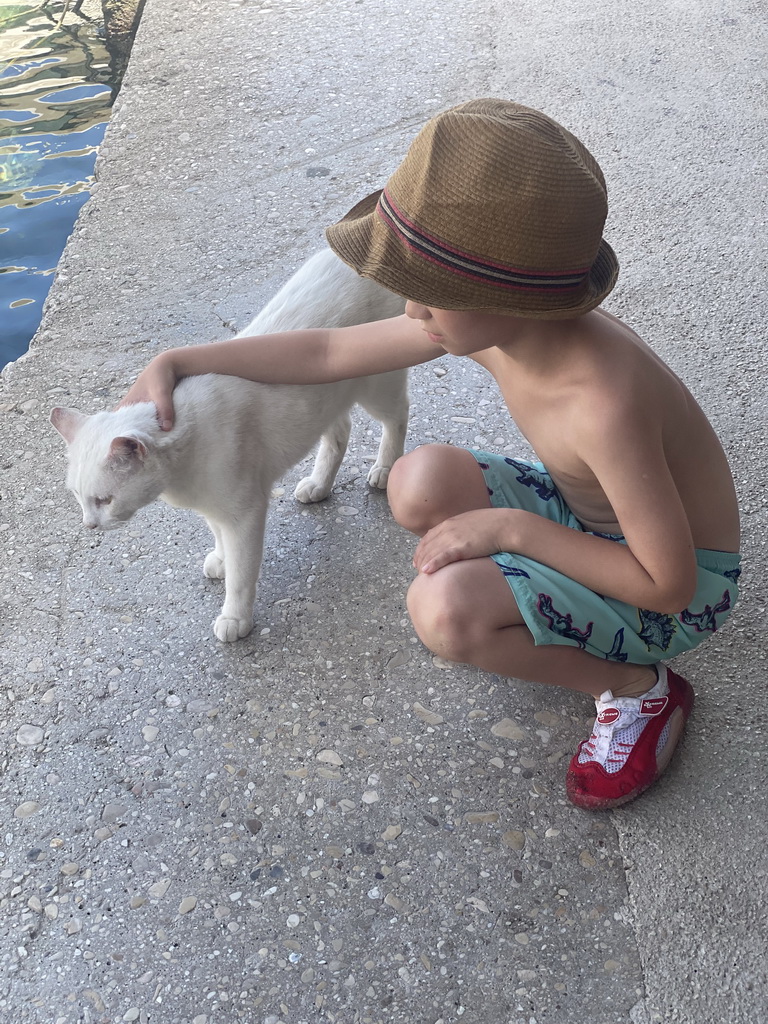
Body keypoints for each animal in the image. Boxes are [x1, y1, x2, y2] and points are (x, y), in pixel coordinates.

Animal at [49, 248, 409, 638]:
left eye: (104, 500)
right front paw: (221, 559)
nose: (89, 525)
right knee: (340, 431)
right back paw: (318, 485)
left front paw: (235, 618)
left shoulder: (244, 512)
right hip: (325, 401)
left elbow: (241, 573)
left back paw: (386, 469)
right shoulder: (214, 508)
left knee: (398, 416)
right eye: (77, 497)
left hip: (379, 385)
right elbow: (219, 537)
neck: (181, 472)